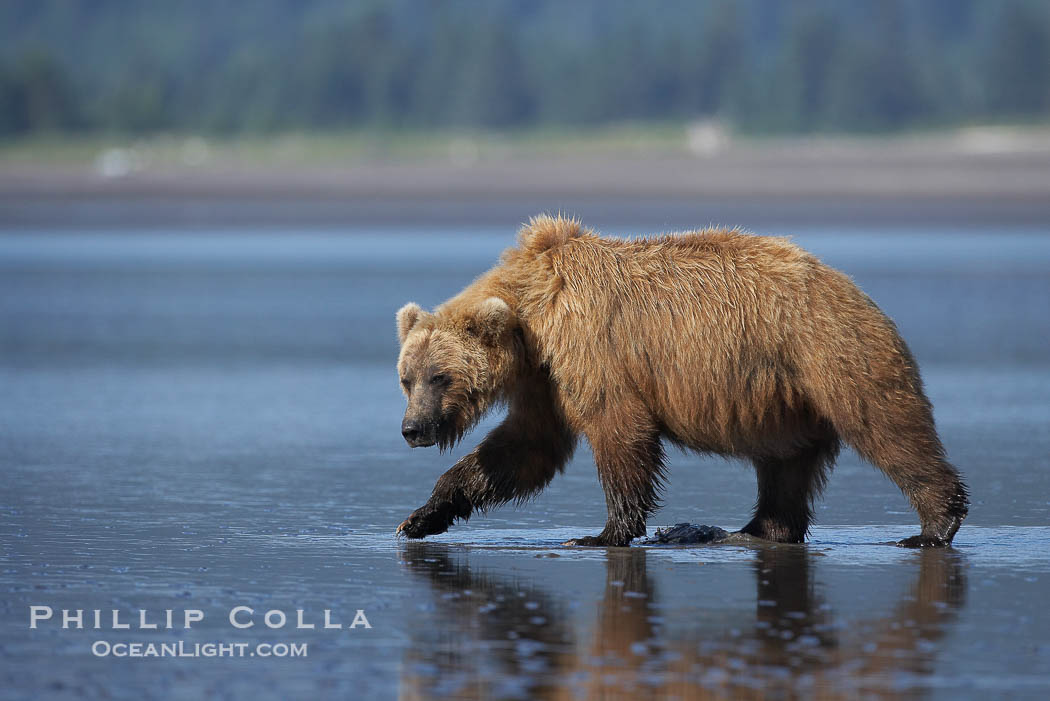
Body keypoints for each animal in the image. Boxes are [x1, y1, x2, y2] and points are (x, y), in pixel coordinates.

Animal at [394, 215, 968, 547]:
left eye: (440, 377)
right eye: (406, 378)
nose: (412, 429)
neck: (534, 315)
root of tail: (852, 287)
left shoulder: (592, 350)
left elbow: (620, 432)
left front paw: (604, 532)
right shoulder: (545, 381)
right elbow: (521, 451)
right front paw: (421, 517)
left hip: (829, 354)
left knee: (887, 426)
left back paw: (934, 524)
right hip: (784, 398)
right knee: (785, 465)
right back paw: (755, 528)